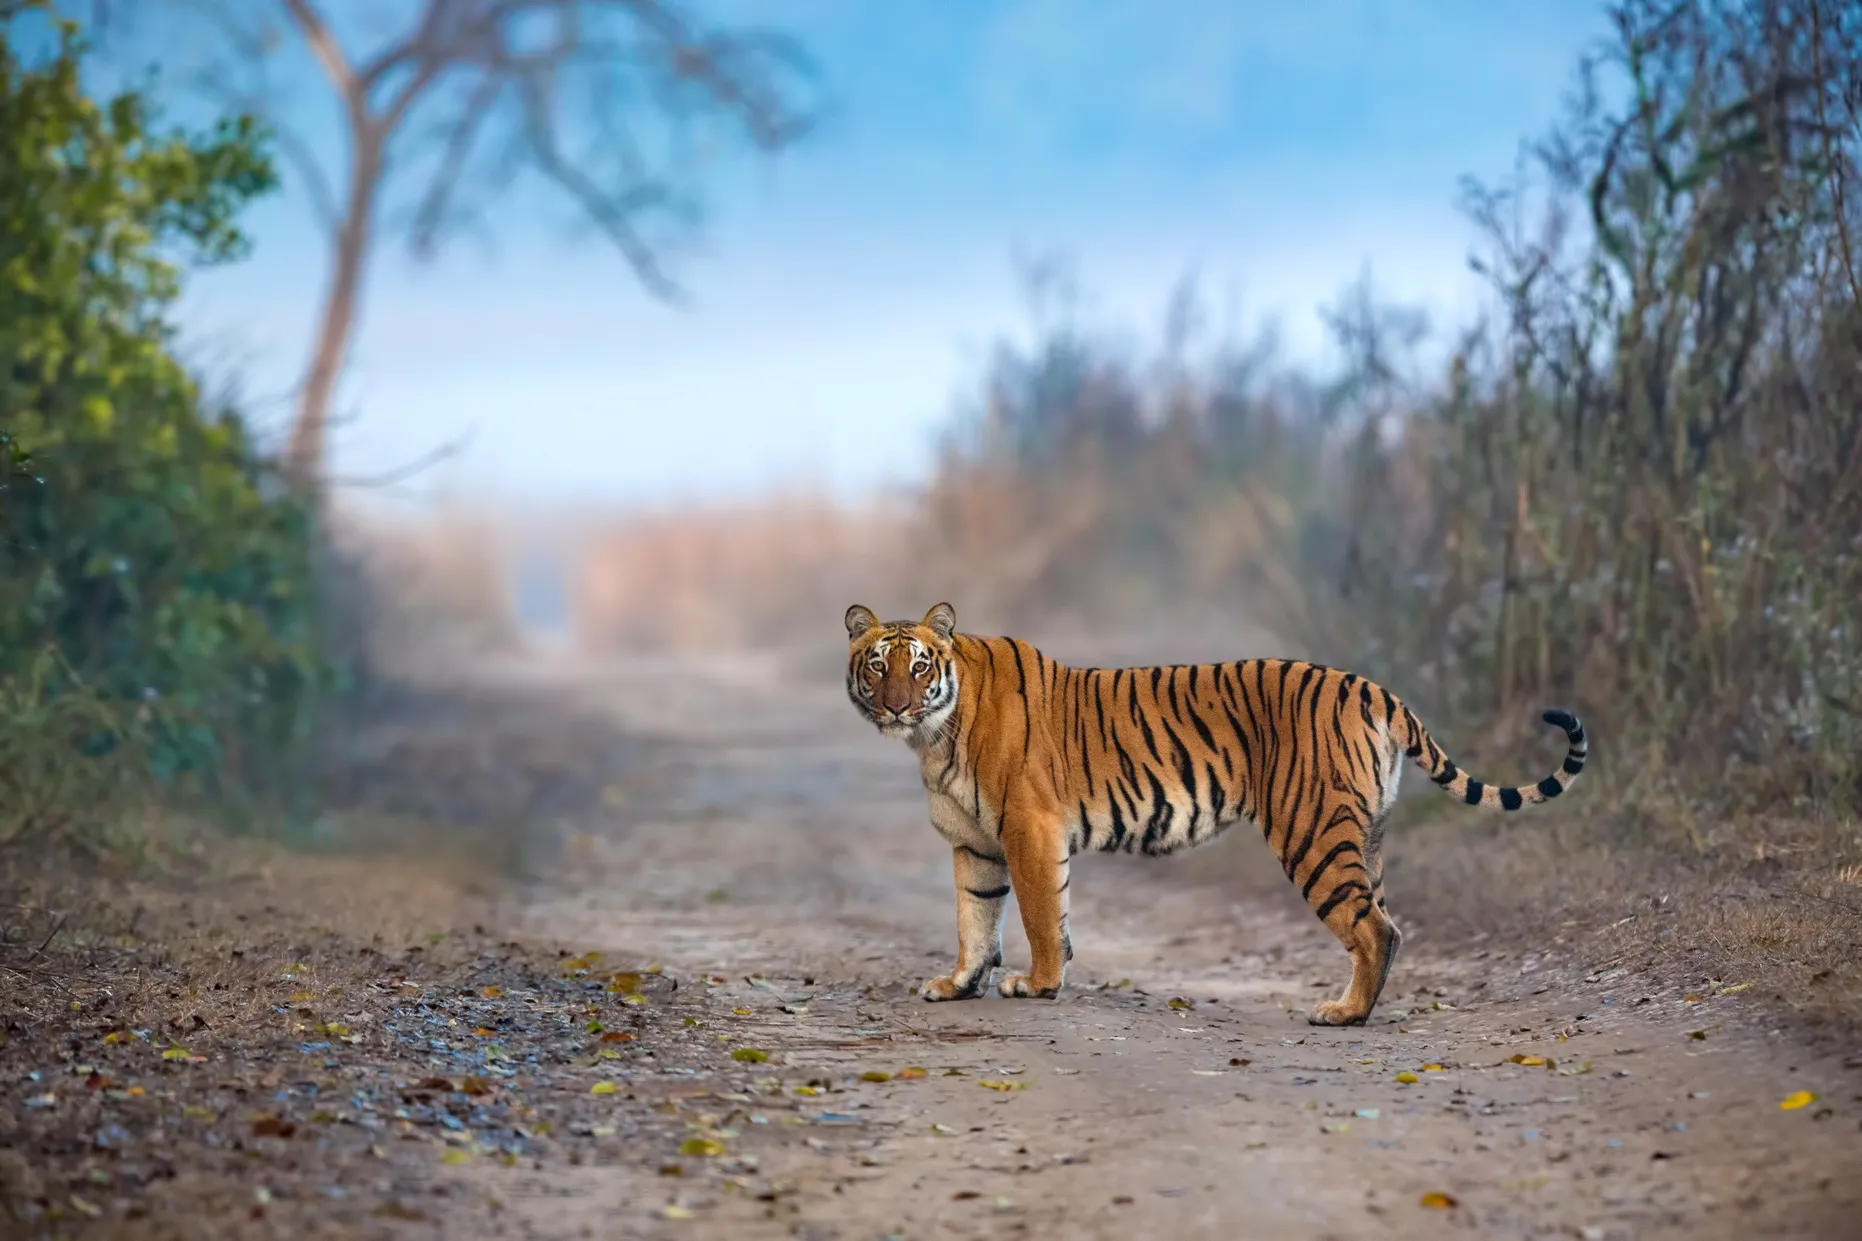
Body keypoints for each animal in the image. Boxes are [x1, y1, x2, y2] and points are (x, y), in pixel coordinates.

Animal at [842, 602, 1587, 1026]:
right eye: (877, 664)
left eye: (919, 665)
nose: (897, 704)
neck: (934, 735)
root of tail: (1369, 686)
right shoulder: (976, 844)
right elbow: (975, 918)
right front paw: (958, 984)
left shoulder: (1028, 828)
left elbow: (1038, 914)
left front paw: (1040, 984)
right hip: (1364, 836)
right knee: (1386, 924)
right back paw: (1359, 1007)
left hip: (1312, 831)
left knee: (1375, 929)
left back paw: (1342, 1015)